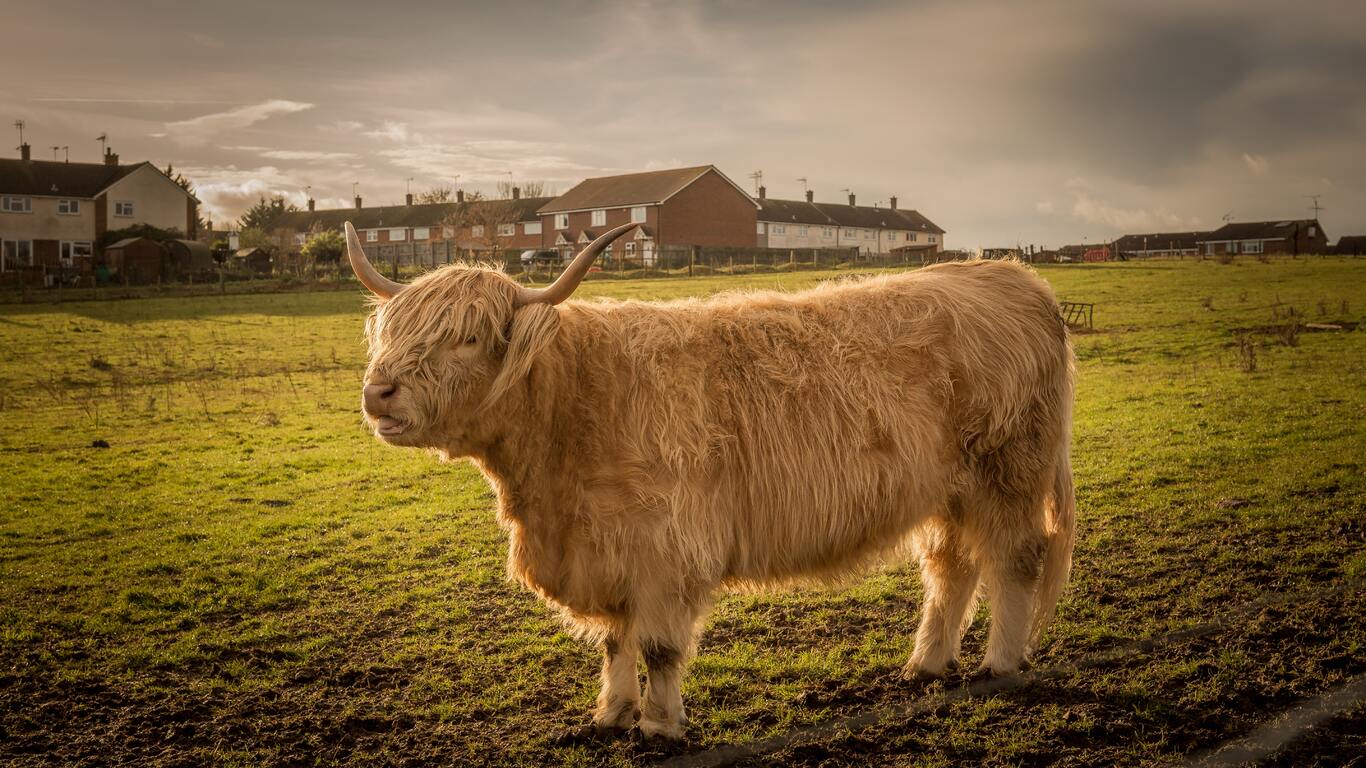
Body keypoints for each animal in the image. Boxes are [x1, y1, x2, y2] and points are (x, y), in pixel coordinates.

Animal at [346, 221, 1076, 742]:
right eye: (393, 332)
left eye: (467, 338)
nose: (378, 392)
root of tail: (1012, 275)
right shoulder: (609, 551)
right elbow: (616, 640)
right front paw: (610, 714)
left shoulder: (667, 549)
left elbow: (660, 646)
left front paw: (659, 726)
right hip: (950, 488)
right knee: (952, 566)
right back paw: (925, 664)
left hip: (1009, 472)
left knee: (1014, 559)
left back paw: (999, 665)